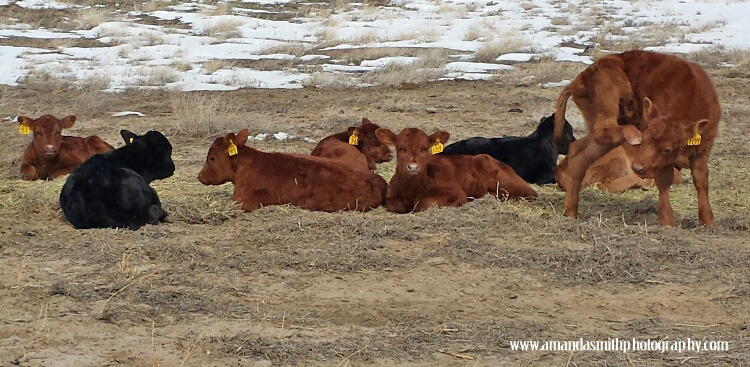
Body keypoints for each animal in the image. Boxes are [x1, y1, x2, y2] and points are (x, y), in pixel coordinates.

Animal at [374, 127, 536, 214]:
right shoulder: (391, 197)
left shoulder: (455, 193)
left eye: (424, 148)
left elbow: (426, 203)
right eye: (401, 148)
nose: (413, 167)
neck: (412, 189)